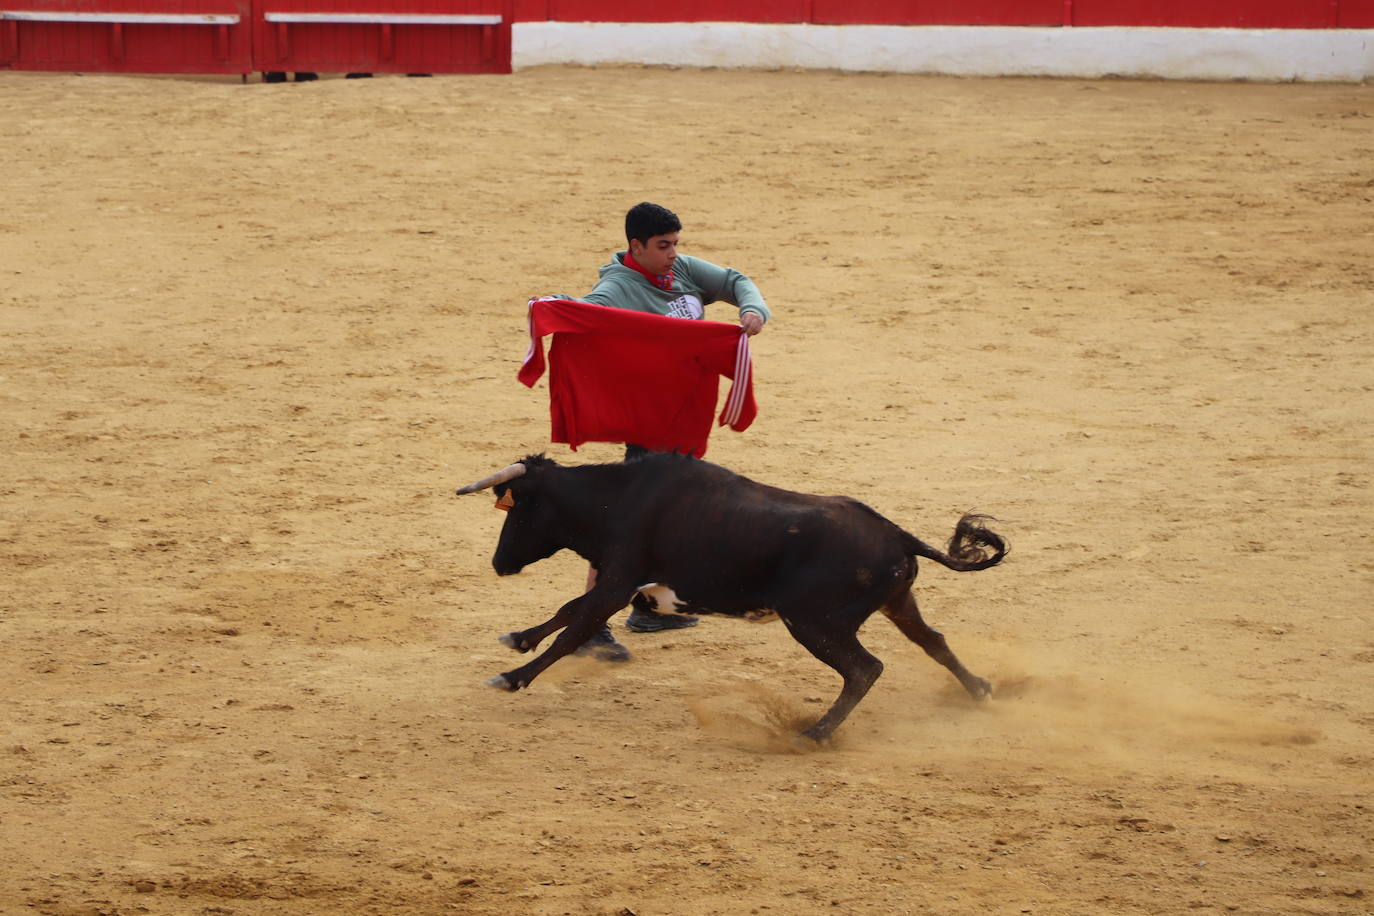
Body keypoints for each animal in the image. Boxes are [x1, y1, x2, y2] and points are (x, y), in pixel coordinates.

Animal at [456, 450, 1005, 747]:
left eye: (518, 509)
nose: (499, 563)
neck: (618, 498)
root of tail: (897, 534)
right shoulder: (623, 582)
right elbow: (569, 609)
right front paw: (517, 639)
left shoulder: (618, 579)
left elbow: (575, 627)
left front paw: (511, 677)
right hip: (897, 603)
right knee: (934, 642)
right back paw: (981, 690)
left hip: (814, 623)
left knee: (865, 669)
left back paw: (814, 734)